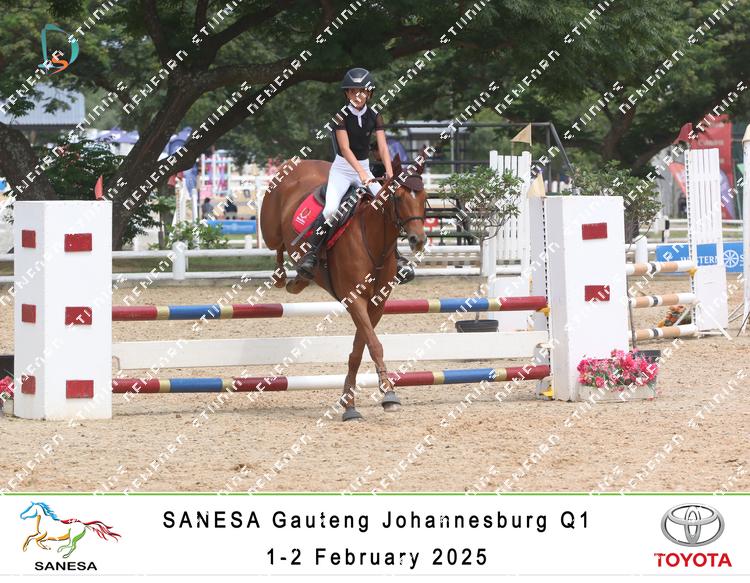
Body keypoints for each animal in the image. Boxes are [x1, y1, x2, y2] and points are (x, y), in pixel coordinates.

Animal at [260, 154, 428, 421]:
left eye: (424, 197)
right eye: (398, 197)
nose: (418, 240)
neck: (373, 241)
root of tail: (295, 162)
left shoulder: (377, 304)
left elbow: (359, 349)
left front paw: (349, 403)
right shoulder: (354, 299)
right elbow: (374, 345)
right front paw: (388, 394)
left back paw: (300, 280)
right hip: (271, 231)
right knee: (277, 246)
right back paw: (286, 276)